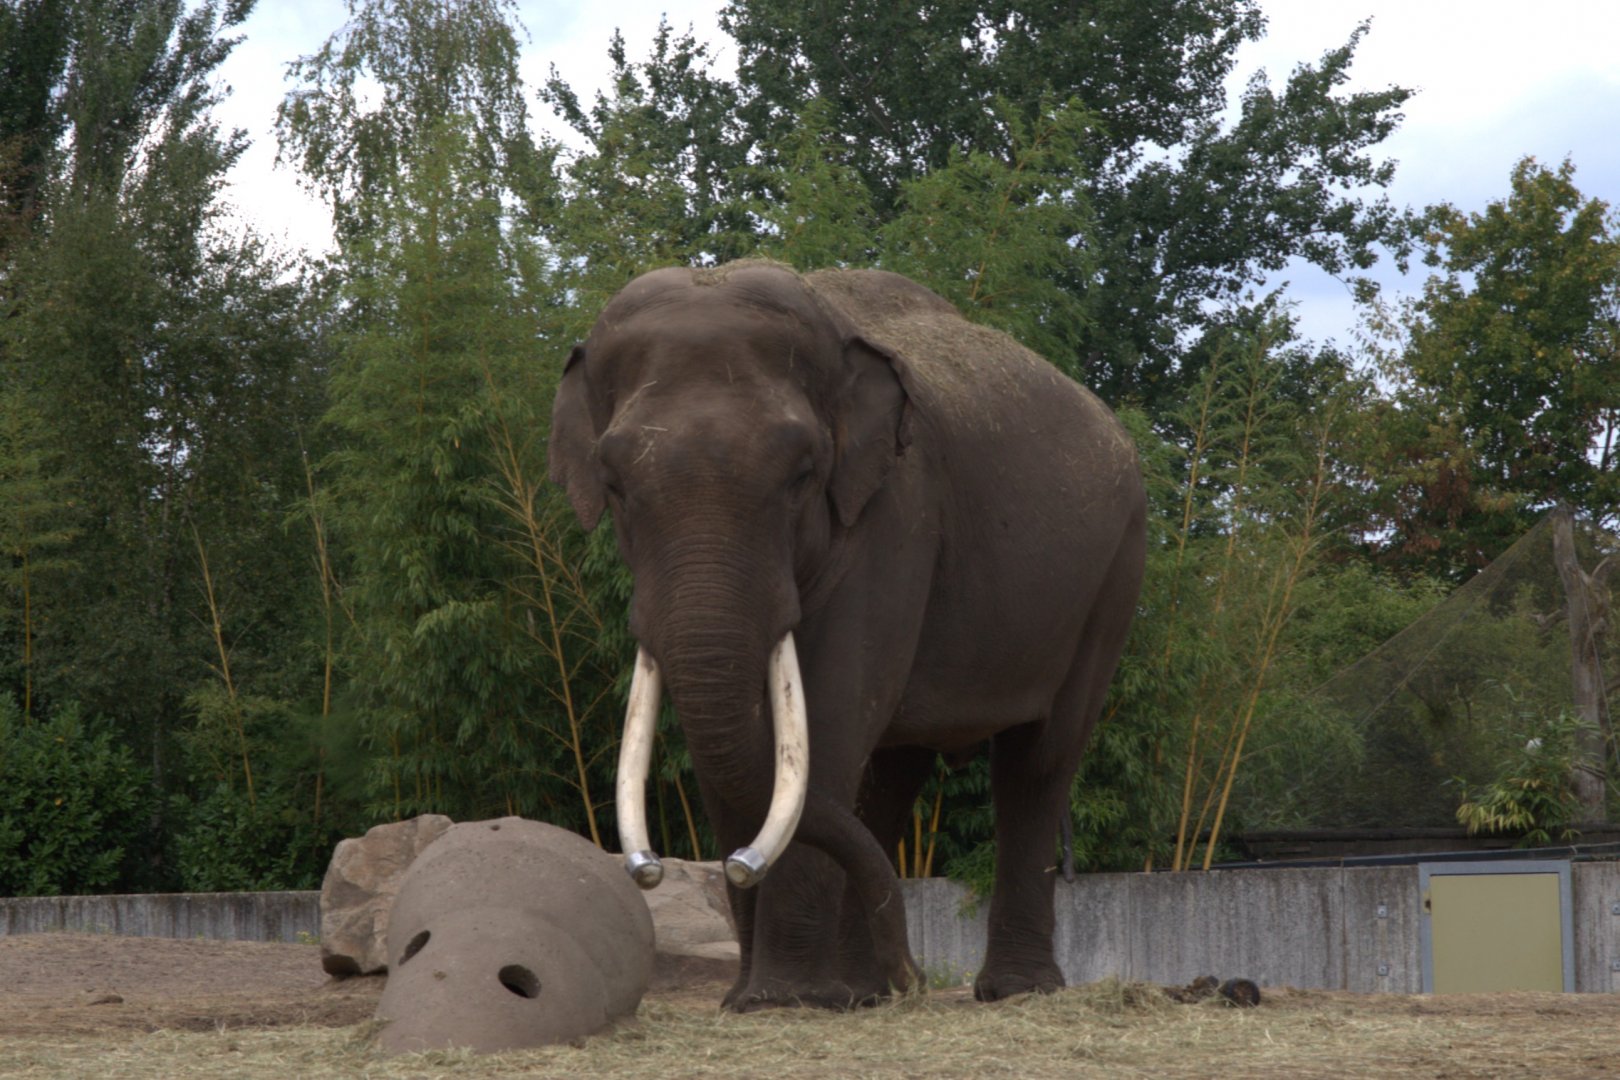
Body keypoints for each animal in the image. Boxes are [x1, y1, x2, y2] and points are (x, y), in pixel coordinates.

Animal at [549, 260, 1146, 1009]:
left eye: (803, 476)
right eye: (614, 484)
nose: (732, 866)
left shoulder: (895, 513)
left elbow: (829, 719)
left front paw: (784, 1000)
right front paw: (751, 1000)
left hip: (1112, 577)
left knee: (1037, 764)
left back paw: (1010, 991)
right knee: (891, 769)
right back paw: (869, 992)